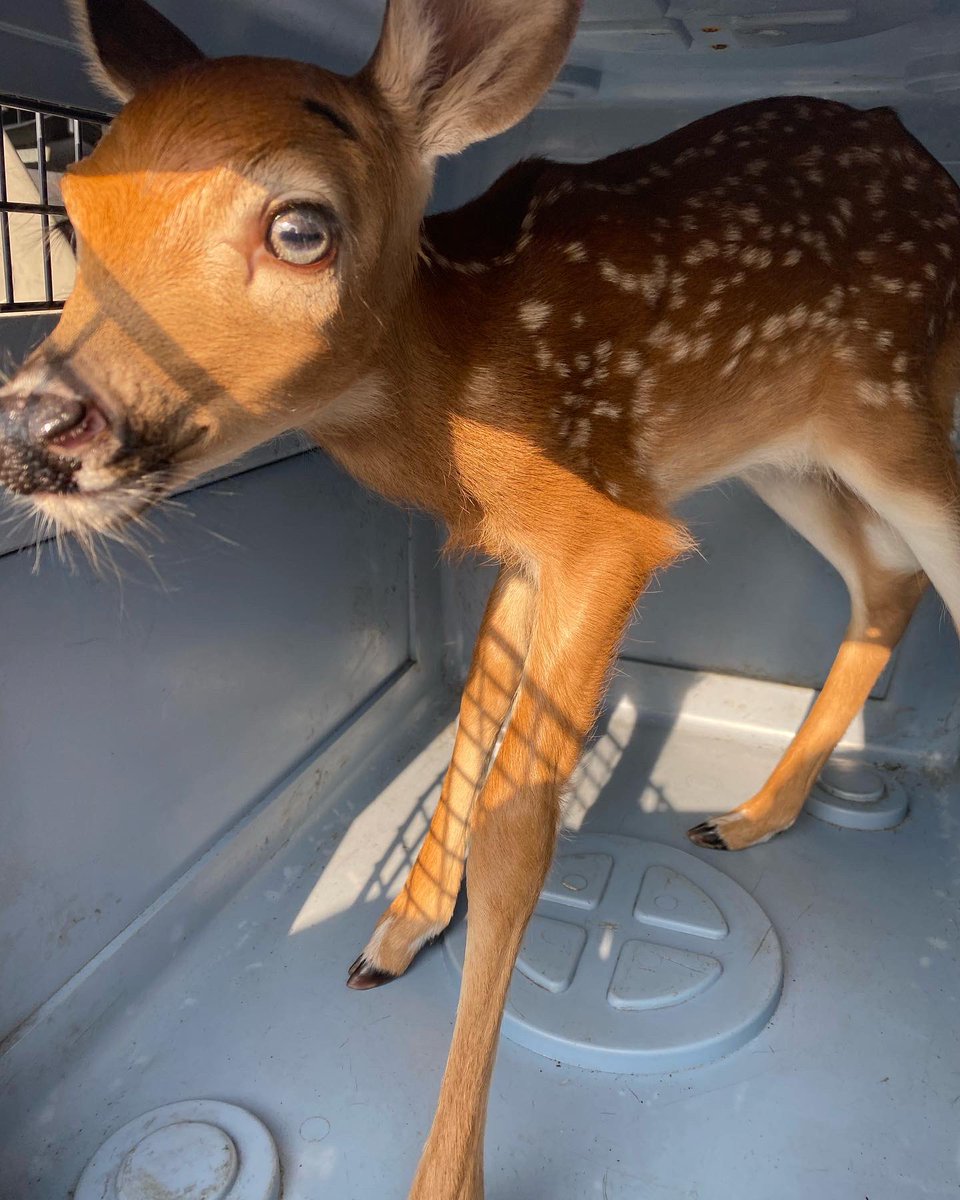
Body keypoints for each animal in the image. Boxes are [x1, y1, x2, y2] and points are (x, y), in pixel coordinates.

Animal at [1, 0, 958, 1195]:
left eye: (301, 228)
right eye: (75, 210)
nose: (36, 426)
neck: (455, 383)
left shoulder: (609, 532)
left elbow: (520, 835)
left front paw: (444, 1172)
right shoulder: (530, 543)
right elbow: (470, 717)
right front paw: (395, 932)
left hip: (894, 403)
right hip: (789, 447)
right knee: (888, 578)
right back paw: (751, 816)